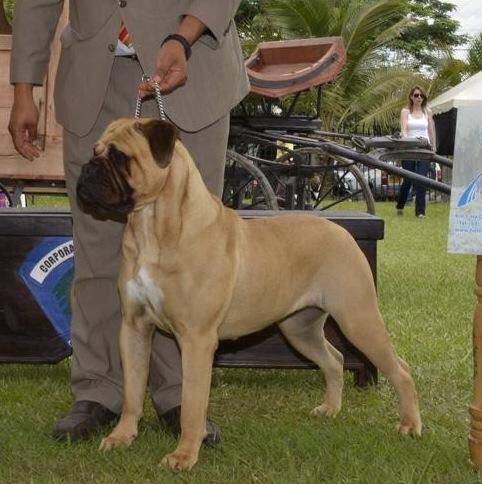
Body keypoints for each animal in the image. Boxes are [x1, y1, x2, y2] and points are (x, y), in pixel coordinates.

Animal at [76, 118, 422, 471]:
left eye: (120, 157)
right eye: (96, 151)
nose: (87, 169)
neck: (152, 227)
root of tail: (343, 232)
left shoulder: (196, 339)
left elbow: (192, 402)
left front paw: (184, 454)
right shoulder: (134, 328)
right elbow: (132, 391)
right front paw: (122, 437)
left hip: (358, 319)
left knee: (400, 369)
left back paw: (410, 425)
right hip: (300, 329)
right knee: (335, 360)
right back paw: (330, 409)